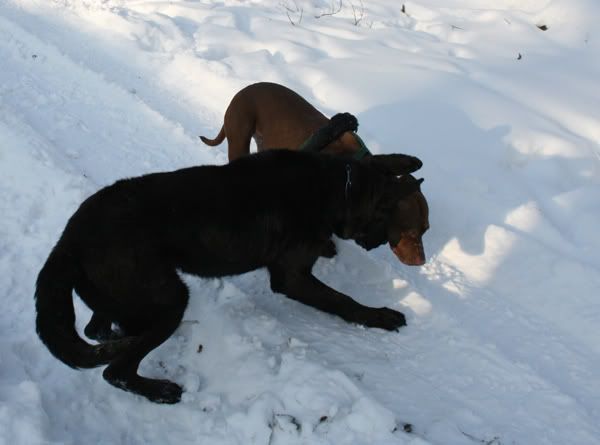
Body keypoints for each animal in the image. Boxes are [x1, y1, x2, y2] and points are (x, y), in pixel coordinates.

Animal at [35, 148, 425, 404]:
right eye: (387, 221)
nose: (377, 244)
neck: (335, 186)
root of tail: (68, 242)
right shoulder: (292, 276)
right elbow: (343, 301)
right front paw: (380, 316)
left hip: (121, 296)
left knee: (96, 331)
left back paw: (118, 337)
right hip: (169, 298)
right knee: (115, 371)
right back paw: (160, 390)